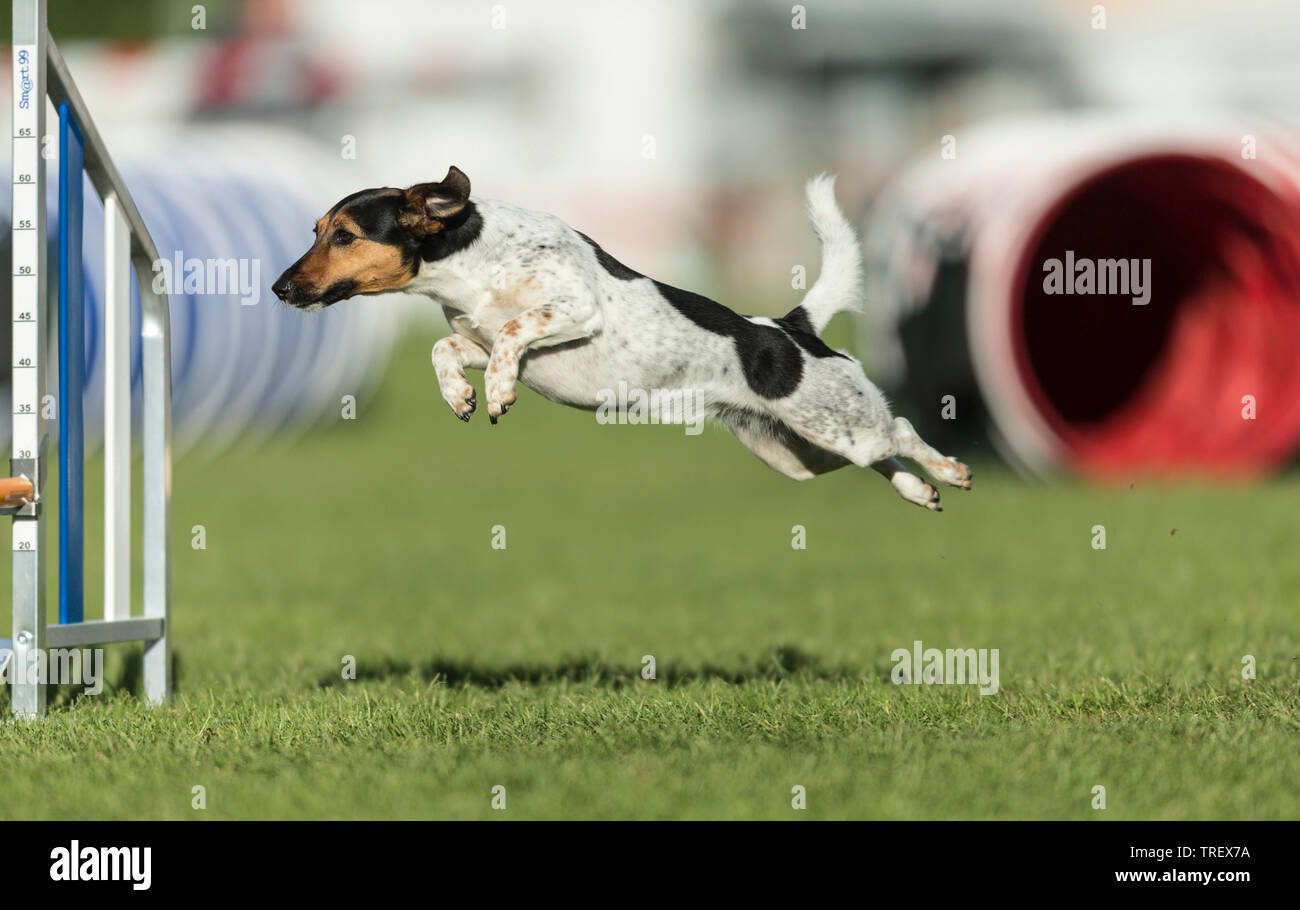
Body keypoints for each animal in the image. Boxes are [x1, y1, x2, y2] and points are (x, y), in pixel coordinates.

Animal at [269, 167, 972, 509]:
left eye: (345, 236)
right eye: (316, 230)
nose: (278, 287)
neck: (472, 262)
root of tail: (791, 329)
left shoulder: (574, 310)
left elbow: (514, 333)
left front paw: (495, 395)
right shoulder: (475, 337)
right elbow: (448, 349)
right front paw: (461, 396)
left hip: (839, 428)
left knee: (901, 430)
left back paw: (953, 471)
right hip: (797, 454)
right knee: (885, 458)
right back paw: (922, 492)